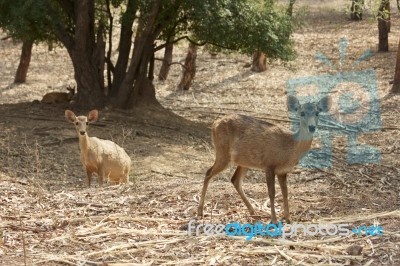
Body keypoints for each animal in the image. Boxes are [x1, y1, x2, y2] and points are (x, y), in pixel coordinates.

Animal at [197, 94, 332, 223]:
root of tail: (214, 124)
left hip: (244, 161)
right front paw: (274, 220)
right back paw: (200, 211)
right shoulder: (269, 164)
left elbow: (285, 192)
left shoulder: (283, 171)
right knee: (208, 172)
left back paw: (254, 212)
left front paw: (288, 218)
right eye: (302, 113)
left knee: (235, 180)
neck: (289, 148)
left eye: (317, 112)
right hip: (223, 152)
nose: (312, 127)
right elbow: (272, 193)